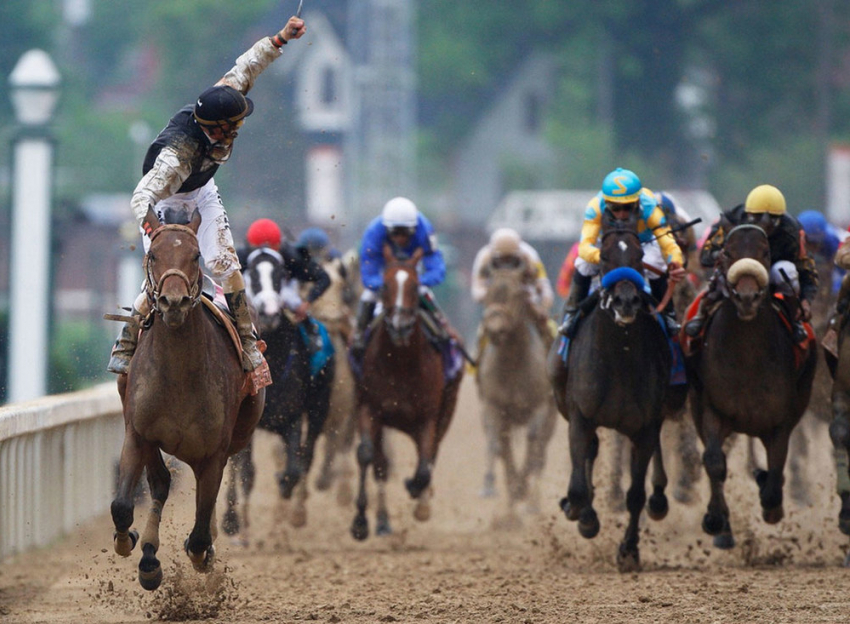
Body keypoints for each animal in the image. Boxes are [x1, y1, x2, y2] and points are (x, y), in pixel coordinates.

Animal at [112, 208, 264, 588]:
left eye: (195, 256)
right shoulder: (139, 433)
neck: (179, 374)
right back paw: (148, 555)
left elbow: (198, 533)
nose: (174, 302)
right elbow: (123, 505)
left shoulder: (214, 452)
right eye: (153, 255)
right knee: (161, 484)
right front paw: (130, 541)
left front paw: (203, 553)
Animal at [222, 246, 334, 540]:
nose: (270, 312)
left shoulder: (291, 418)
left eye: (282, 272)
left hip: (319, 409)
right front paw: (237, 525)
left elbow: (292, 470)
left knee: (307, 456)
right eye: (250, 272)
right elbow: (246, 471)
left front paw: (284, 505)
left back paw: (295, 512)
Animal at [348, 246, 460, 540]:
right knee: (381, 464)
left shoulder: (428, 417)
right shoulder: (369, 408)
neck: (399, 362)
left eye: (415, 285)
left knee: (431, 455)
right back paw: (382, 521)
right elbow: (367, 455)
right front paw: (360, 521)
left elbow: (423, 468)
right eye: (385, 285)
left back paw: (421, 502)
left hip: (446, 411)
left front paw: (416, 491)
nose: (400, 326)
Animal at [548, 212, 672, 572]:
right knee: (589, 454)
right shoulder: (580, 417)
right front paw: (582, 515)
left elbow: (635, 495)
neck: (620, 356)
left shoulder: (645, 428)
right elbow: (578, 487)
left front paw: (629, 550)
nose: (626, 301)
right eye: (603, 256)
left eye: (640, 256)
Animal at [684, 222, 816, 548]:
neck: (747, 356)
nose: (747, 297)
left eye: (766, 252)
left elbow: (776, 473)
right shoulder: (711, 408)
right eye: (728, 252)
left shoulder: (782, 420)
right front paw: (716, 520)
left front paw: (772, 504)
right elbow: (714, 462)